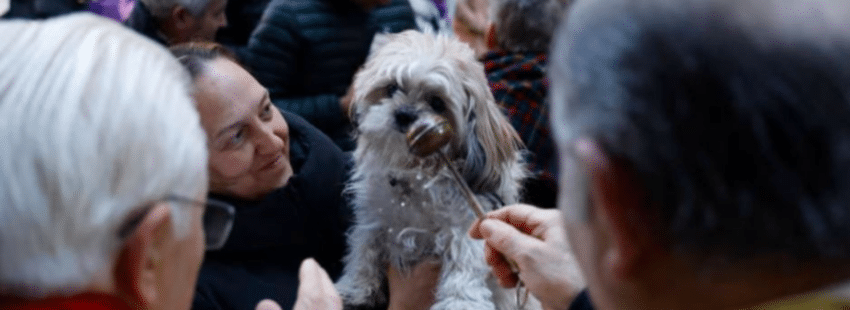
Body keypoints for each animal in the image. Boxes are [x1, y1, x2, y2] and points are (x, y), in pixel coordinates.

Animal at [332, 29, 528, 310]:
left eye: (437, 103)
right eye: (392, 88)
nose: (404, 113)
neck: (415, 177)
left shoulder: (467, 225)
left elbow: (464, 263)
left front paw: (460, 302)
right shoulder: (375, 220)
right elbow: (364, 246)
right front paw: (356, 287)